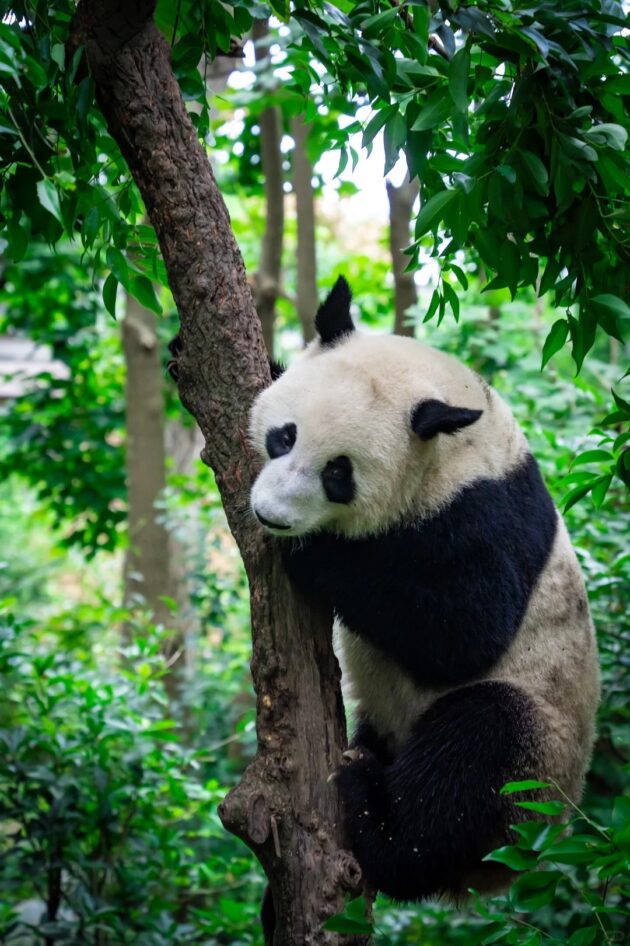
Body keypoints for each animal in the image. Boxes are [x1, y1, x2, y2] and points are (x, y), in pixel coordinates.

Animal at [249, 276, 600, 903]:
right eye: (283, 437)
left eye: (338, 473)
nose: (272, 516)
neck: (449, 441)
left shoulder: (480, 511)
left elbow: (464, 633)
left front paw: (315, 553)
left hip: (538, 764)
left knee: (475, 751)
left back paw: (374, 814)